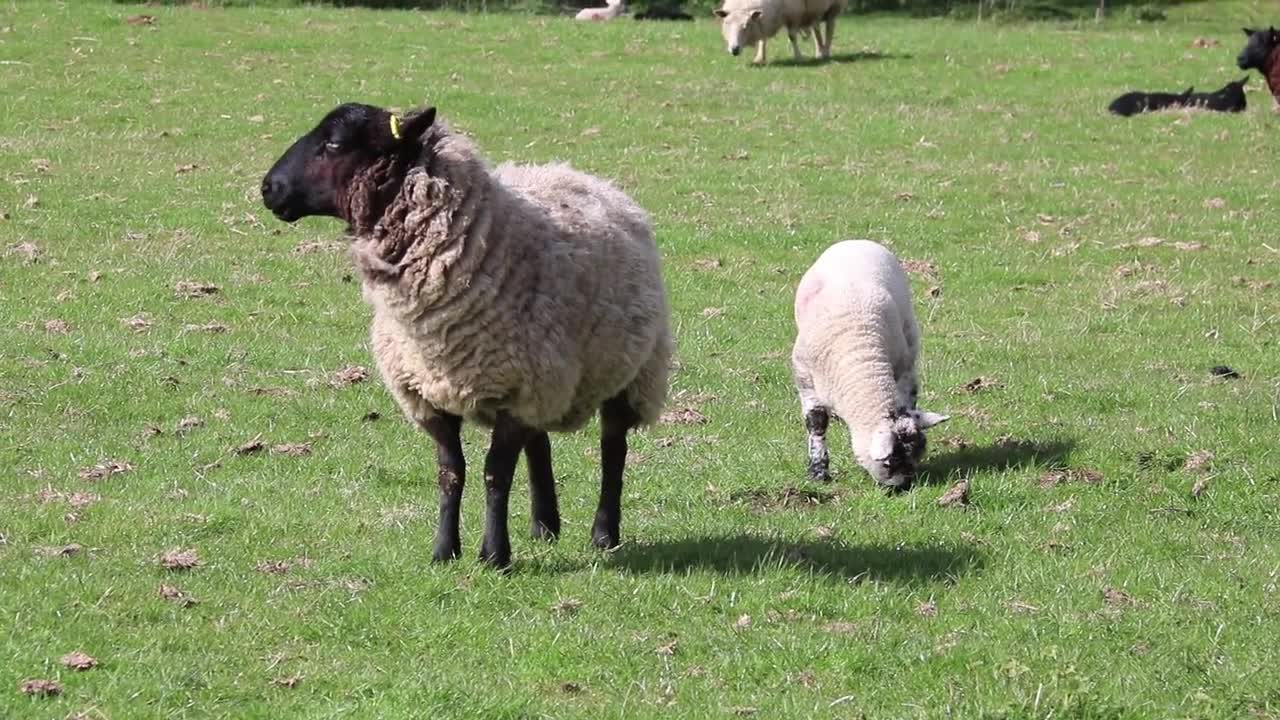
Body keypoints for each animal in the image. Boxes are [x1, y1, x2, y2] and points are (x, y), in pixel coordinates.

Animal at [263, 103, 675, 568]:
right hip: (546, 381)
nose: (268, 188)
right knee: (540, 445)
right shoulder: (428, 393)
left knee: (613, 449)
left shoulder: (517, 392)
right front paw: (444, 550)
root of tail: (575, 173)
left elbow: (495, 474)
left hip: (632, 371)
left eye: (333, 143)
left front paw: (494, 555)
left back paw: (604, 533)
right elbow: (450, 473)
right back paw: (544, 525)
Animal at [716, 0, 844, 63]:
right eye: (726, 24)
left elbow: (792, 36)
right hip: (813, 13)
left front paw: (798, 57)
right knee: (816, 30)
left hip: (834, 7)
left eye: (746, 26)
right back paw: (819, 53)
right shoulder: (764, 22)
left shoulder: (794, 15)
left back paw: (826, 52)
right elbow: (763, 40)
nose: (734, 49)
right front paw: (759, 58)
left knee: (830, 27)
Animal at [788, 238, 952, 489]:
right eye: (890, 462)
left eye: (917, 455)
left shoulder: (904, 369)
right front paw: (818, 472)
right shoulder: (805, 380)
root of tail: (855, 241)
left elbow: (909, 400)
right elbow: (816, 423)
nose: (904, 487)